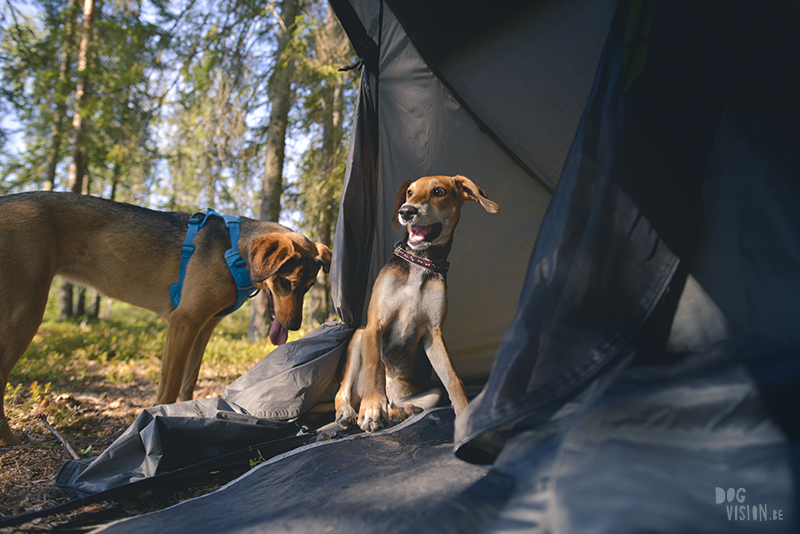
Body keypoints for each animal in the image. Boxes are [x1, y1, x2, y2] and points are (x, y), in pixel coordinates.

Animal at [0, 191, 332, 446]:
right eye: (286, 283)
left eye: (309, 287)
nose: (294, 326)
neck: (232, 251)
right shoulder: (183, 322)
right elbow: (169, 388)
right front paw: (156, 421)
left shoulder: (203, 329)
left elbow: (188, 383)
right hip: (25, 312)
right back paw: (11, 439)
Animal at [332, 176, 496, 436]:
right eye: (409, 192)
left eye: (439, 191)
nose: (406, 211)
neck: (421, 261)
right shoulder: (375, 325)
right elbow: (374, 367)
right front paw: (372, 410)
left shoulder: (434, 334)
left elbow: (453, 379)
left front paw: (466, 418)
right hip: (358, 335)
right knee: (342, 393)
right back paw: (350, 412)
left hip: (430, 393)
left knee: (399, 404)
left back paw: (403, 412)